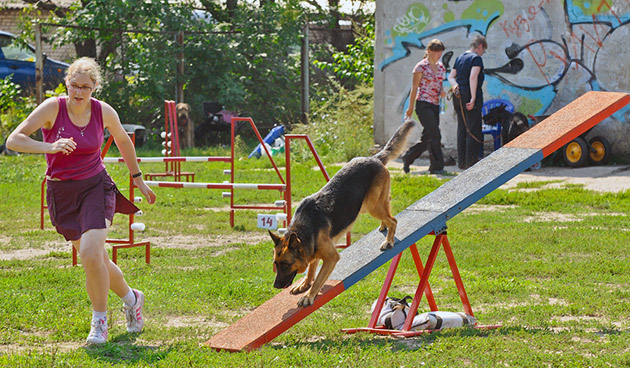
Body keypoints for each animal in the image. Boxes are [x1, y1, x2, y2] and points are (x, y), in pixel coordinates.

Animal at [270, 119, 418, 306]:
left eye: (286, 265)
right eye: (275, 263)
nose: (275, 286)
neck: (303, 228)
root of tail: (374, 158)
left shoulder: (331, 257)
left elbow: (318, 279)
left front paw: (309, 295)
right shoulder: (314, 252)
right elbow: (311, 269)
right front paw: (304, 284)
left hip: (372, 206)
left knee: (394, 220)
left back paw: (388, 241)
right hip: (366, 205)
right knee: (388, 208)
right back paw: (383, 226)